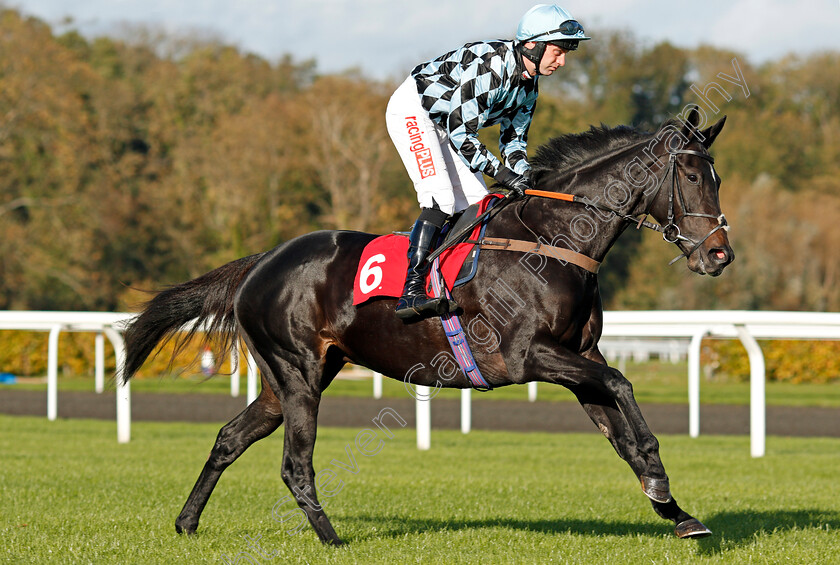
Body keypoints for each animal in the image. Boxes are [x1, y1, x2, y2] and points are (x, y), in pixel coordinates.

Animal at [121, 108, 732, 544]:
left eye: (718, 176)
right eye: (691, 174)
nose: (719, 254)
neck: (553, 239)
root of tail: (262, 261)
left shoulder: (580, 358)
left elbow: (619, 427)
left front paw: (675, 511)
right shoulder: (529, 355)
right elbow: (625, 389)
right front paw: (659, 475)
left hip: (291, 377)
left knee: (230, 437)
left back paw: (187, 523)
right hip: (296, 373)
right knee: (296, 463)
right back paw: (331, 538)